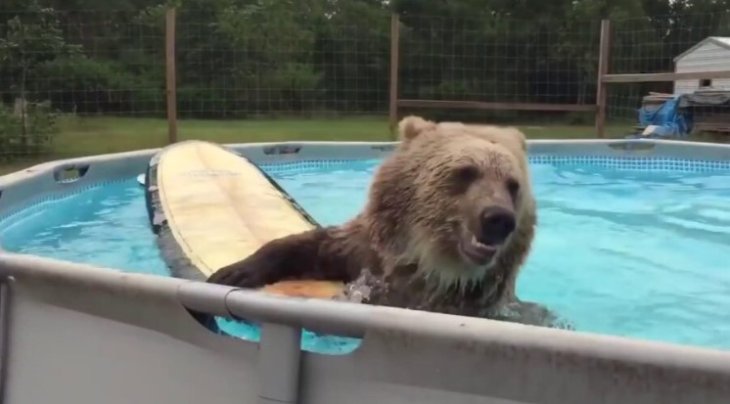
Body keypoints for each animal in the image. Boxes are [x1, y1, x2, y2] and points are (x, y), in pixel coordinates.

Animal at [204, 115, 566, 328]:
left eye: (512, 185)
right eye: (466, 172)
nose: (498, 218)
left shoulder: (477, 302)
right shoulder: (366, 252)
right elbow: (312, 246)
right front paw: (232, 272)